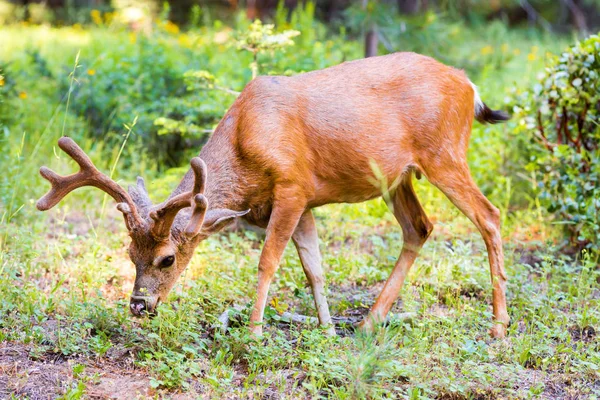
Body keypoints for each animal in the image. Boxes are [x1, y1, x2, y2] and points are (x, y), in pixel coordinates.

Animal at [35, 50, 508, 338]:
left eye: (167, 259)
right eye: (129, 254)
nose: (138, 305)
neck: (246, 146)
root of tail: (470, 86)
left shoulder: (293, 188)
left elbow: (268, 262)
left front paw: (254, 331)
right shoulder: (300, 204)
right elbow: (315, 268)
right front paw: (328, 331)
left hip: (444, 152)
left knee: (489, 215)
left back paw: (499, 326)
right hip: (398, 177)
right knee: (419, 228)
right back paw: (368, 323)